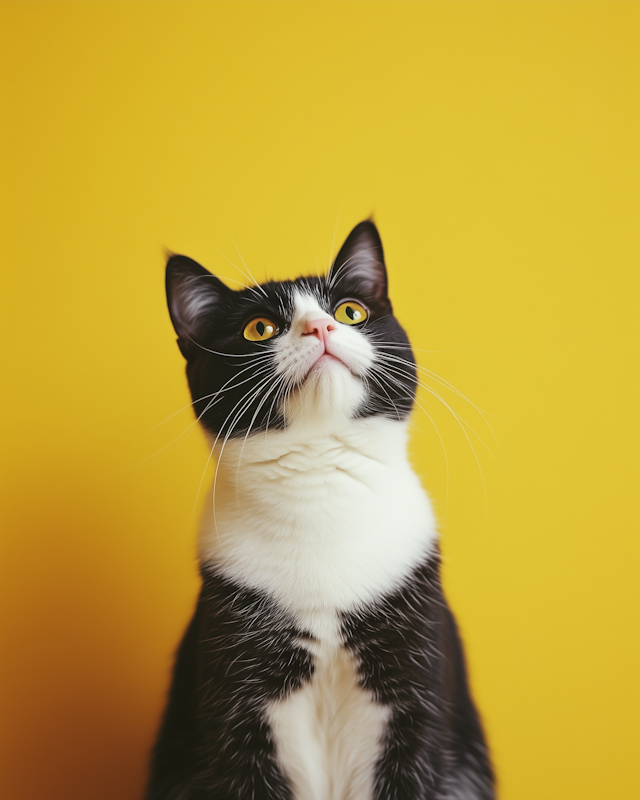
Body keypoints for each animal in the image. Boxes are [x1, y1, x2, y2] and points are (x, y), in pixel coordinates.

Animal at [145, 220, 496, 800]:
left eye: (351, 311)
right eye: (259, 328)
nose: (319, 327)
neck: (320, 487)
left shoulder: (418, 679)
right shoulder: (233, 690)